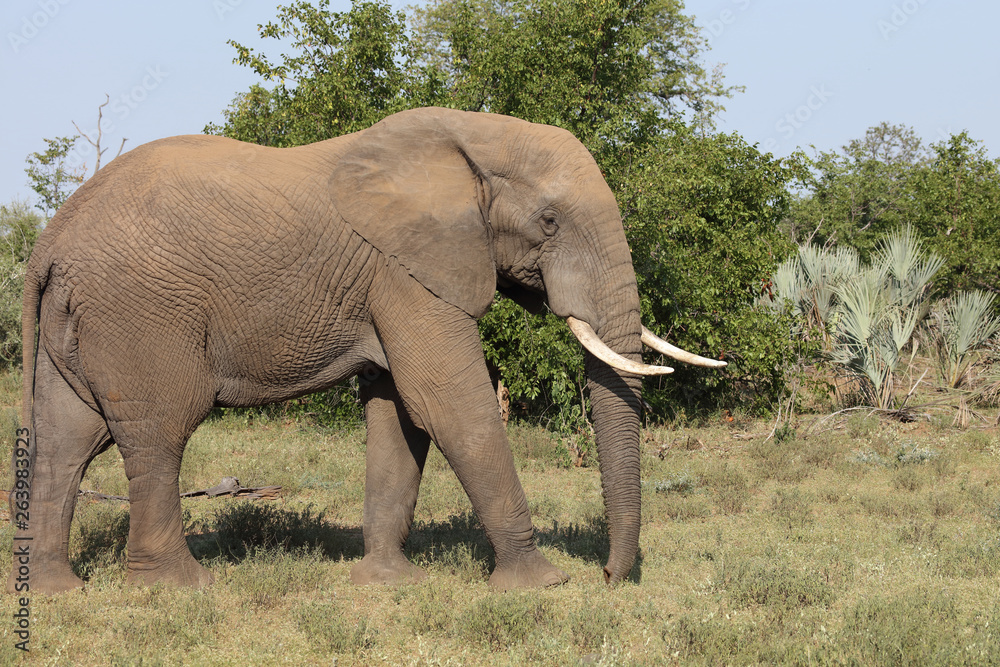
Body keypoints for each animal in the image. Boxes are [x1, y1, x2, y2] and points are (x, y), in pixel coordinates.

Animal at [8, 107, 724, 594]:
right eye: (549, 222)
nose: (608, 576)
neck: (471, 135)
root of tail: (50, 242)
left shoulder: (390, 280)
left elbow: (398, 413)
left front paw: (388, 582)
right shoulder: (406, 272)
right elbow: (447, 402)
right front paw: (541, 584)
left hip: (78, 321)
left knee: (67, 440)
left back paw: (55, 590)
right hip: (140, 313)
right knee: (158, 433)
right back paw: (178, 587)